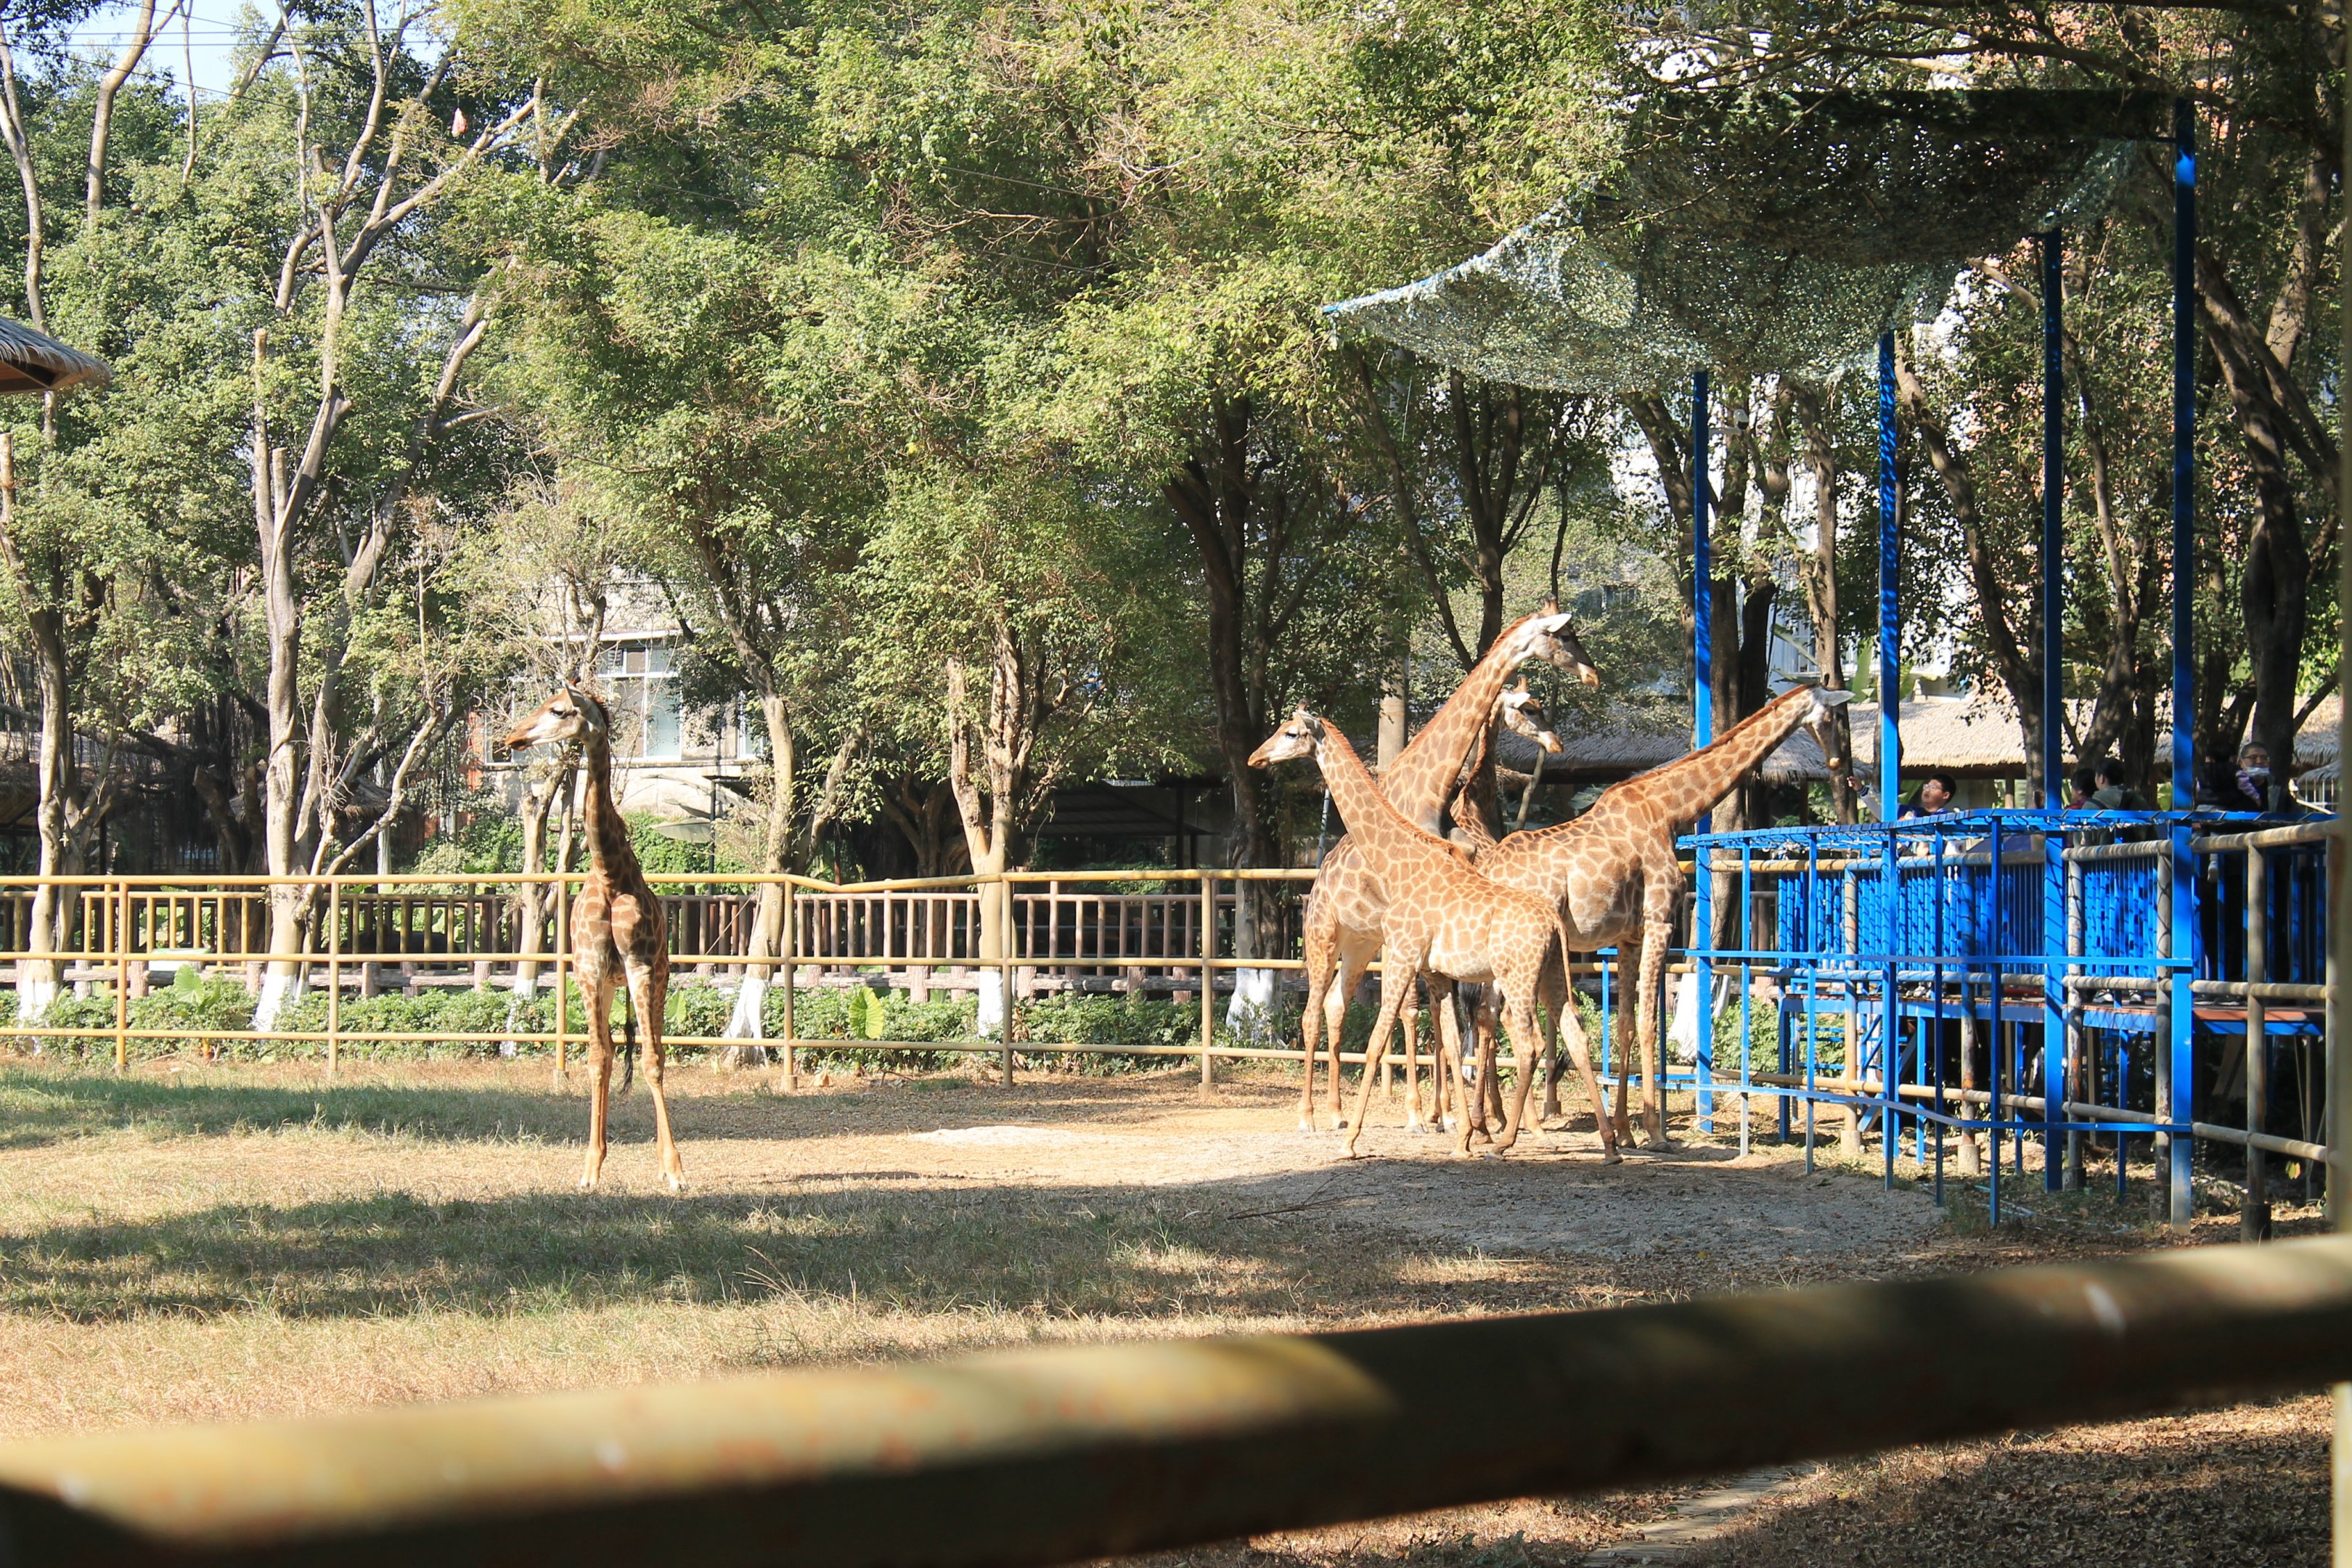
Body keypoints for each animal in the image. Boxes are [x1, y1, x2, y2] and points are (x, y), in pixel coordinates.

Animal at [505, 685, 686, 1191]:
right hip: (607, 985)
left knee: (656, 1051)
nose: (512, 737)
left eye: (559, 710)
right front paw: (590, 1168)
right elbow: (597, 1060)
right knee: (609, 1053)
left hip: (658, 978)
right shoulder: (587, 970)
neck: (609, 876)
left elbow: (651, 1061)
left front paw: (674, 1171)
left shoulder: (640, 967)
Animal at [1251, 709, 1613, 1162]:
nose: (1256, 758)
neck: (1398, 862)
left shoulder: (1403, 953)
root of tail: (1553, 923)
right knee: (1574, 1035)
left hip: (1516, 976)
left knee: (1530, 1043)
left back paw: (1507, 1140)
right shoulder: (1436, 971)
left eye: (1291, 733)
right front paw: (1462, 1137)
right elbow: (1452, 1044)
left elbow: (1377, 1042)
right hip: (1551, 975)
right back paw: (1611, 1145)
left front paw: (1352, 1141)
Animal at [1296, 605, 1599, 1133]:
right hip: (1329, 933)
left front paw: (1454, 1115)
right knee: (1317, 1011)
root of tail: (1315, 885)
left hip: (1361, 941)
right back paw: (1311, 1115)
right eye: (1530, 706)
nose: (1592, 674)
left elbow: (1450, 1011)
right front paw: (1428, 1114)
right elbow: (1423, 1011)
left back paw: (1337, 1111)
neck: (1437, 793)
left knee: (1337, 1004)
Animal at [1458, 684, 1854, 1153]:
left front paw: (1626, 1131)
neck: (1670, 811)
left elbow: (1627, 1025)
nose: (1841, 765)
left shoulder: (1629, 938)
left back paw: (1484, 1128)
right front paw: (1654, 1131)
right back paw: (1499, 1129)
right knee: (1499, 1018)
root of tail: (1489, 869)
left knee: (1489, 1016)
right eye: (1832, 717)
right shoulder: (1661, 921)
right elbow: (1650, 1024)